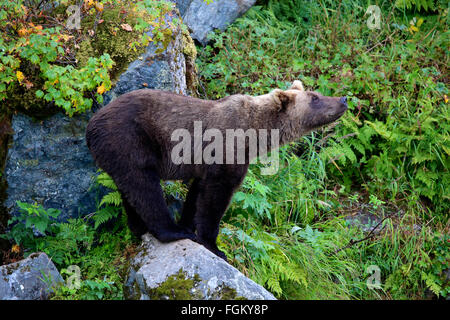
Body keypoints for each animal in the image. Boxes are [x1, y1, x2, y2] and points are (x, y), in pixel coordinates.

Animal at [86, 80, 346, 260]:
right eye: (314, 97)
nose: (343, 99)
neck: (255, 134)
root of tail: (91, 127)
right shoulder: (225, 152)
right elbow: (215, 198)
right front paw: (213, 244)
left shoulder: (205, 165)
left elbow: (197, 195)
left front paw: (189, 223)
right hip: (129, 141)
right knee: (144, 188)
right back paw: (170, 231)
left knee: (129, 192)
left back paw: (140, 227)